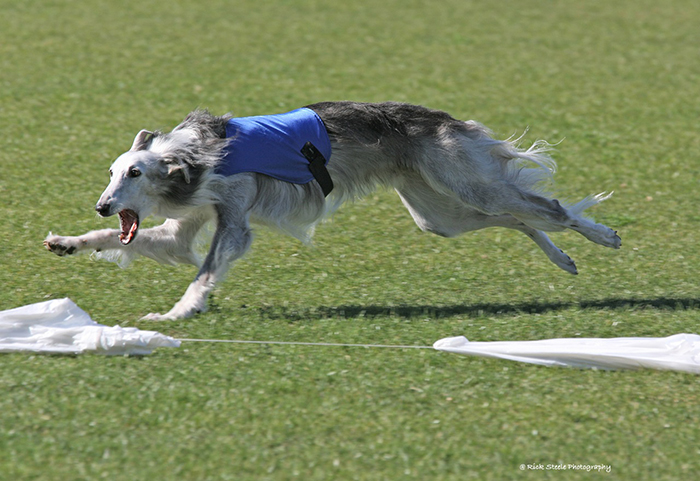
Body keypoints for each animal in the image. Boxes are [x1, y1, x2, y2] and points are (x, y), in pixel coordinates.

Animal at [42, 101, 616, 318]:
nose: (102, 206)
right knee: (520, 218)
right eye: (112, 171)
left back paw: (600, 235)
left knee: (548, 207)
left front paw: (177, 314)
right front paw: (67, 242)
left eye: (134, 174)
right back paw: (564, 258)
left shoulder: (235, 220)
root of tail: (445, 119)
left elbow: (203, 274)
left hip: (466, 185)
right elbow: (149, 245)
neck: (193, 157)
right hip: (437, 214)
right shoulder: (187, 225)